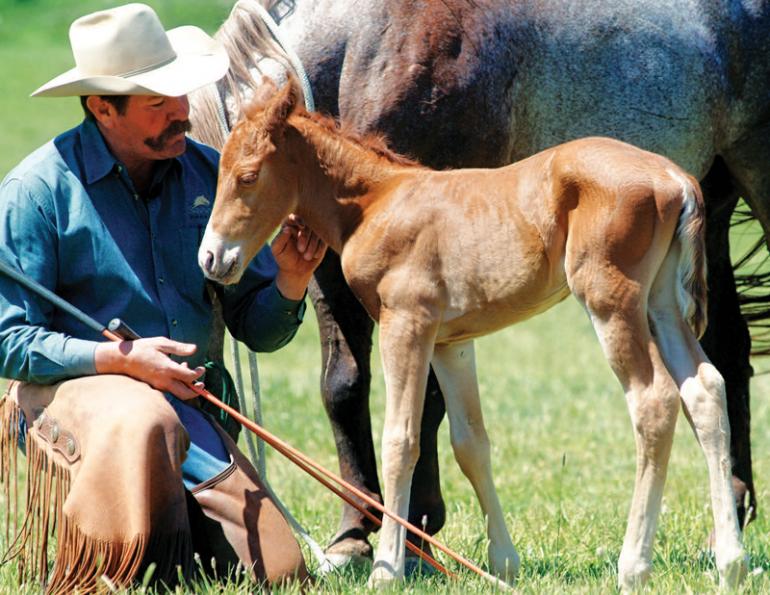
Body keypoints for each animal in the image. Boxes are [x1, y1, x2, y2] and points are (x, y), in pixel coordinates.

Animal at [189, 0, 770, 565]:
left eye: (246, 176)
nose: (212, 258)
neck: (380, 200)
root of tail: (675, 178)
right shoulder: (453, 342)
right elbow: (471, 443)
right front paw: (501, 561)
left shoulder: (408, 324)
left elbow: (403, 437)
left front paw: (391, 563)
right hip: (665, 299)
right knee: (705, 385)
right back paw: (729, 557)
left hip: (613, 298)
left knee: (653, 400)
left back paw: (635, 564)